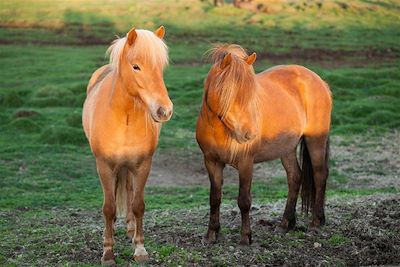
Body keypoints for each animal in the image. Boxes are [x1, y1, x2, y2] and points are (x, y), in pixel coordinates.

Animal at [83, 26, 172, 264]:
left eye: (161, 67)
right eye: (136, 66)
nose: (164, 110)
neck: (125, 117)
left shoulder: (143, 165)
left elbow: (138, 205)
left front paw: (140, 249)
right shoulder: (104, 166)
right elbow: (109, 207)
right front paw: (107, 253)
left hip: (130, 167)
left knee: (130, 193)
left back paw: (131, 230)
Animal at [196, 44, 332, 247]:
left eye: (250, 95)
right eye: (228, 93)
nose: (248, 134)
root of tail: (319, 80)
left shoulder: (245, 163)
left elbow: (244, 200)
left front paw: (246, 237)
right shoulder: (211, 162)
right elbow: (215, 198)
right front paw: (211, 234)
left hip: (315, 140)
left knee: (320, 174)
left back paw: (317, 221)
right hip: (287, 148)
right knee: (295, 177)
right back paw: (285, 224)